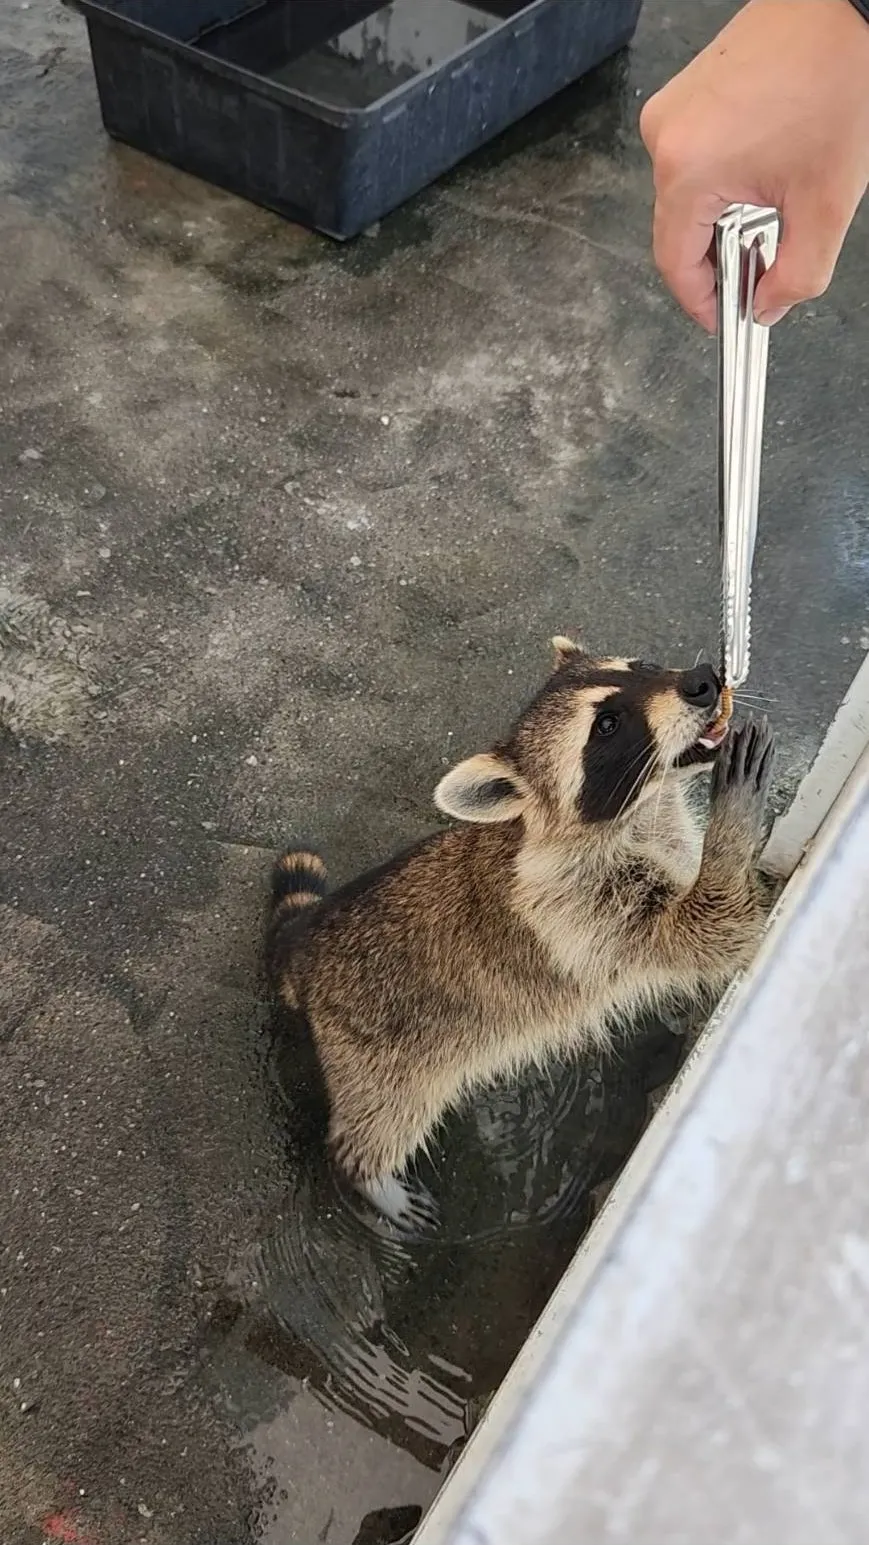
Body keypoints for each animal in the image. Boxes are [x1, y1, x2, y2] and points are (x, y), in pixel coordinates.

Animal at [264, 633, 770, 1223]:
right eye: (607, 725)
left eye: (641, 667)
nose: (703, 680)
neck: (639, 813)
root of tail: (308, 939)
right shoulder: (573, 911)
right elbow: (708, 929)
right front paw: (732, 827)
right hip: (378, 1048)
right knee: (381, 1116)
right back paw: (368, 1176)